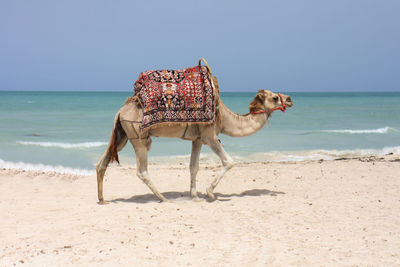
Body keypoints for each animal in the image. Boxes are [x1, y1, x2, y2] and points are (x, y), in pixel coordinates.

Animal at [95, 89, 292, 204]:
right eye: (275, 97)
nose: (290, 99)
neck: (225, 118)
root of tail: (120, 110)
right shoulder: (209, 135)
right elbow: (229, 162)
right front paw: (210, 193)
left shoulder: (197, 139)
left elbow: (193, 166)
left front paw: (195, 196)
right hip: (137, 135)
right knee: (141, 170)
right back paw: (163, 198)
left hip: (122, 135)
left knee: (101, 163)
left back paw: (102, 199)